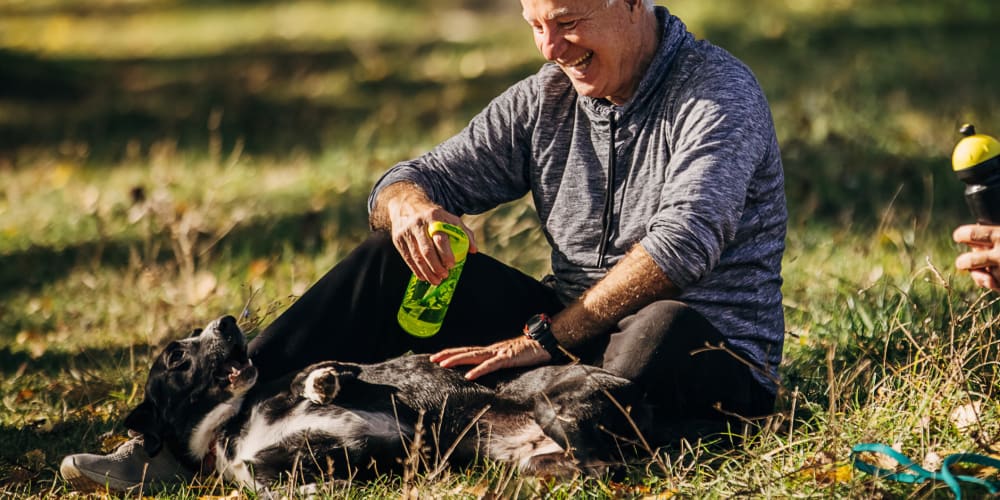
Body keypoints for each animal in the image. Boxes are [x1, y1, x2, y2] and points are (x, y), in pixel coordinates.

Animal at [123, 314, 648, 490]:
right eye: (176, 355)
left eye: (199, 334)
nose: (228, 322)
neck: (230, 427)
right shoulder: (257, 471)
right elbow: (274, 483)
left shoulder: (332, 371)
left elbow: (312, 374)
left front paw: (321, 385)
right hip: (537, 461)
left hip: (550, 407)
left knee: (603, 468)